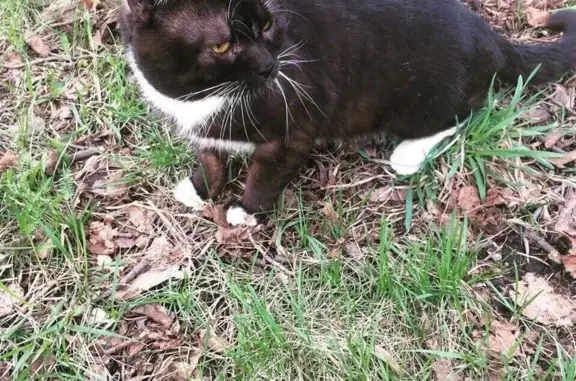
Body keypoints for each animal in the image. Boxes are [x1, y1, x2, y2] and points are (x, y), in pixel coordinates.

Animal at [120, 0, 576, 224]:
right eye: (221, 45)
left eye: (267, 25)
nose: (271, 65)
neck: (200, 96)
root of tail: (489, 35)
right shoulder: (200, 128)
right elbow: (209, 155)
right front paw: (201, 187)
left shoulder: (294, 128)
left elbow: (265, 175)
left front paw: (246, 211)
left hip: (418, 100)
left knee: (466, 111)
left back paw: (408, 154)